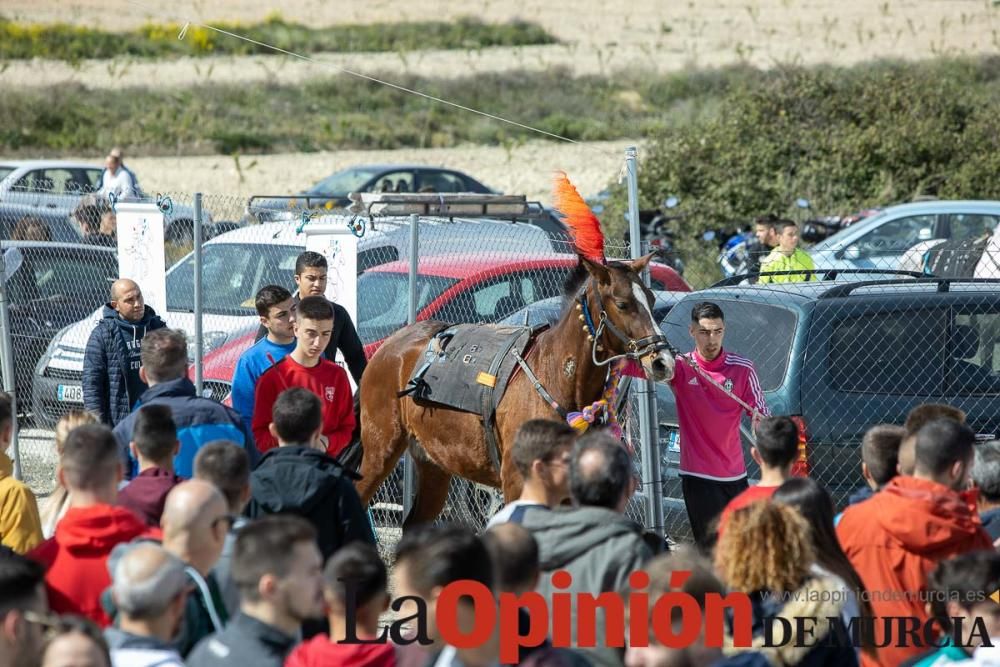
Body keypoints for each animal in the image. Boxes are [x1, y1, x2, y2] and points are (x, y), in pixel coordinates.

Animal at [356, 254, 676, 528]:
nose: (662, 361)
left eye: (651, 299)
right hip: (380, 451)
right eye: (622, 304)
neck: (555, 376)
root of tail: (392, 345)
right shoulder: (515, 482)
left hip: (434, 463)